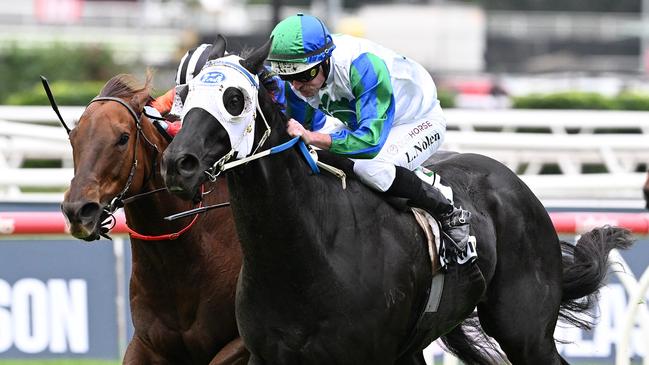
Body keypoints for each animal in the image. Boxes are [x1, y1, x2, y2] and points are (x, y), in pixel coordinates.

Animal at [162, 38, 632, 362]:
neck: (307, 256)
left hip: (526, 331)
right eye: (184, 96)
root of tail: (515, 183)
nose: (178, 163)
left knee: (383, 167)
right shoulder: (267, 354)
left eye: (234, 99)